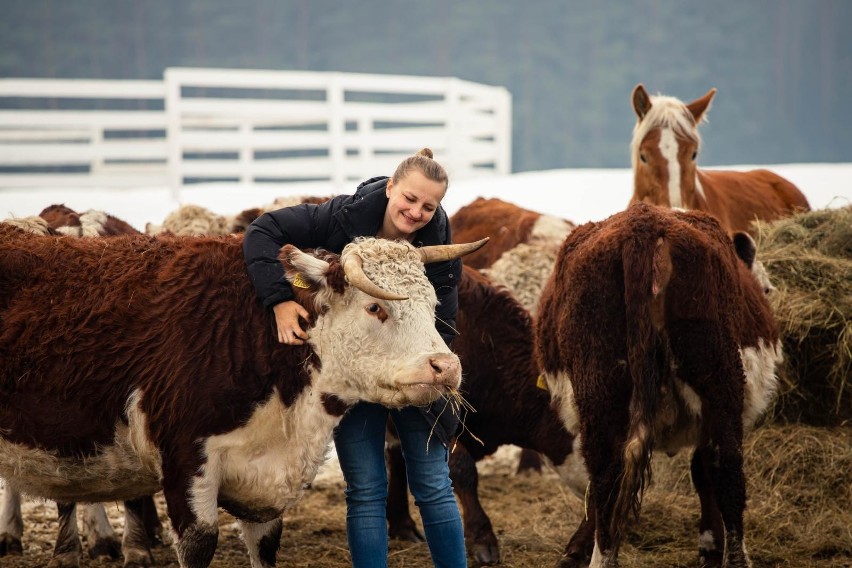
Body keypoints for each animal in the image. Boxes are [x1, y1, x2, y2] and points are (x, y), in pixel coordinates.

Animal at [0, 227, 486, 568]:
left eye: (433, 306)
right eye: (376, 307)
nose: (446, 367)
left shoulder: (265, 490)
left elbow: (265, 545)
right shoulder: (186, 462)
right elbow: (199, 544)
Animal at [536, 204, 784, 568]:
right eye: (766, 289)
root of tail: (645, 225)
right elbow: (703, 469)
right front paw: (710, 545)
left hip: (598, 390)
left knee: (605, 475)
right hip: (721, 380)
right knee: (728, 472)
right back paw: (736, 558)